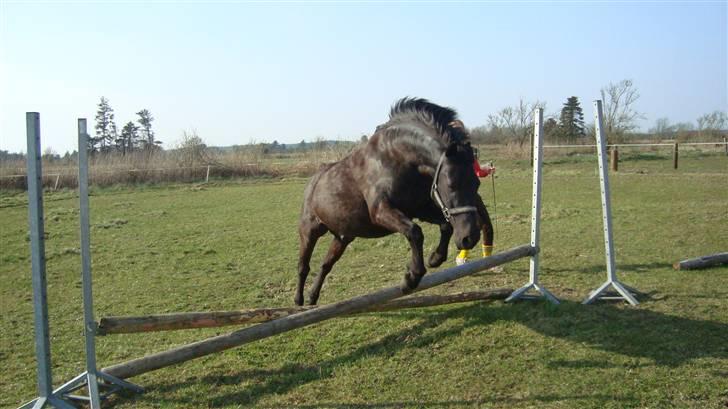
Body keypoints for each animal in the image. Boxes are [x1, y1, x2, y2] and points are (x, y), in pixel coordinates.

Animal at [296, 97, 494, 306]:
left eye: (477, 183)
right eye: (451, 184)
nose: (469, 238)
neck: (397, 158)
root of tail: (313, 180)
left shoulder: (419, 209)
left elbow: (445, 225)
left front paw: (434, 258)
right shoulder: (381, 211)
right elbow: (415, 232)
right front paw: (411, 278)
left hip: (342, 237)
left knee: (325, 265)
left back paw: (312, 297)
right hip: (309, 231)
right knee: (303, 266)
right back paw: (298, 300)